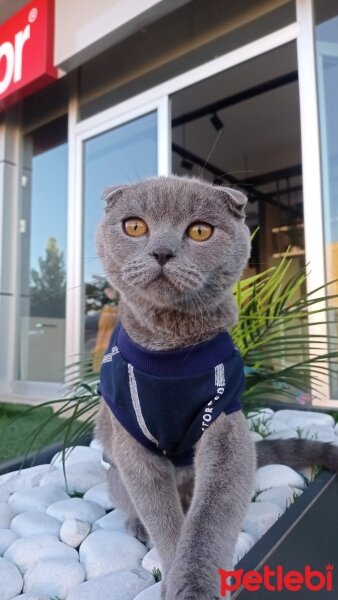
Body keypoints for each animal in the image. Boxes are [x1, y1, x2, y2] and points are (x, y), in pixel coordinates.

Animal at [94, 177, 338, 600]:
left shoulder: (224, 419)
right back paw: (136, 526)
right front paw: (174, 567)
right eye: (135, 226)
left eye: (199, 231)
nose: (162, 251)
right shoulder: (130, 438)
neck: (171, 350)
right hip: (115, 474)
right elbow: (157, 509)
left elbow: (213, 511)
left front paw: (194, 583)